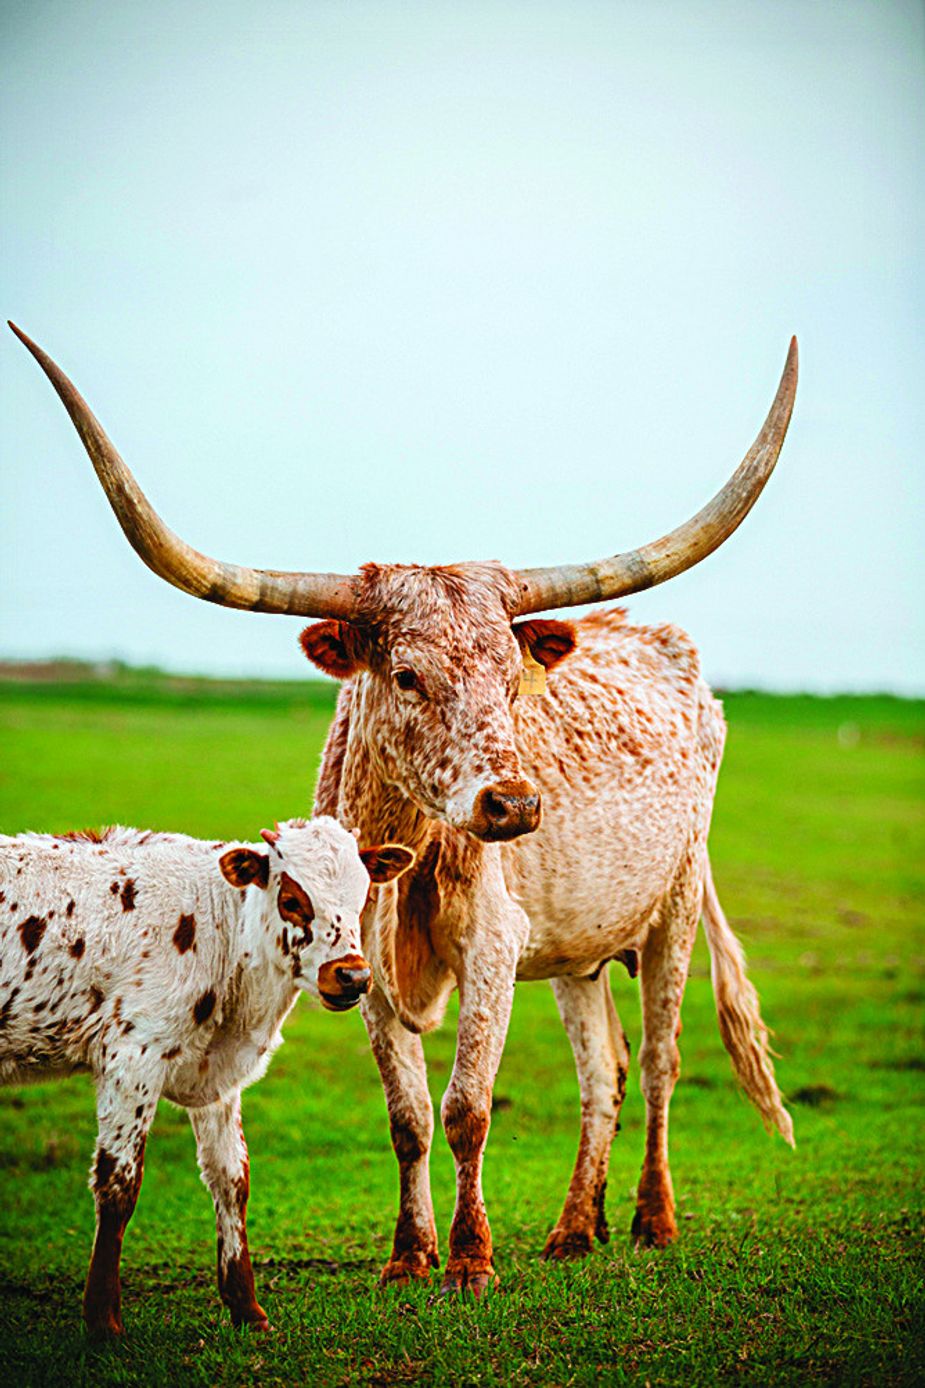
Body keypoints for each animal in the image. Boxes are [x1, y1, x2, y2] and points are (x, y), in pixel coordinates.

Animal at [0, 810, 411, 1332]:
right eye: (292, 900)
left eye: (363, 897)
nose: (353, 976)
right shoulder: (132, 1056)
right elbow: (118, 1185)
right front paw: (102, 1320)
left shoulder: (216, 1079)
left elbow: (231, 1179)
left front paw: (246, 1308)